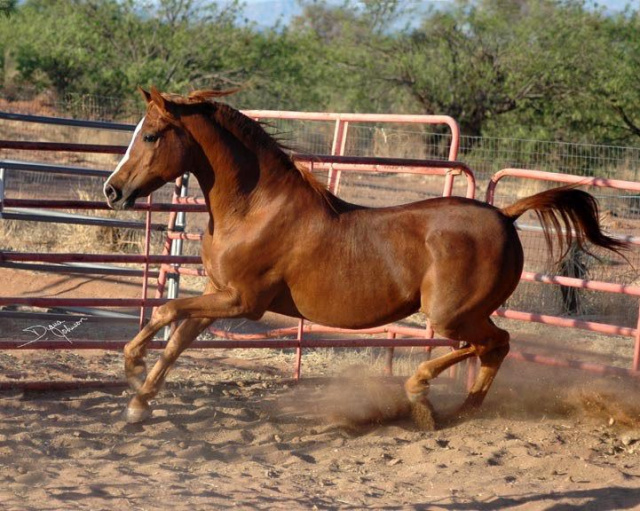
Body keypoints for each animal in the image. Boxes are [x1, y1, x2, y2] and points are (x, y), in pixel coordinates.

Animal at [104, 87, 624, 424]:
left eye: (150, 136)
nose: (112, 191)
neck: (255, 207)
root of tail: (505, 214)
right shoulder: (219, 293)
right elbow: (178, 337)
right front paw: (139, 402)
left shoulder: (243, 302)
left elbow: (167, 310)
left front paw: (131, 371)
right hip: (463, 316)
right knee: (493, 348)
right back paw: (459, 411)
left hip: (452, 315)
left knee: (496, 343)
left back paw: (421, 396)